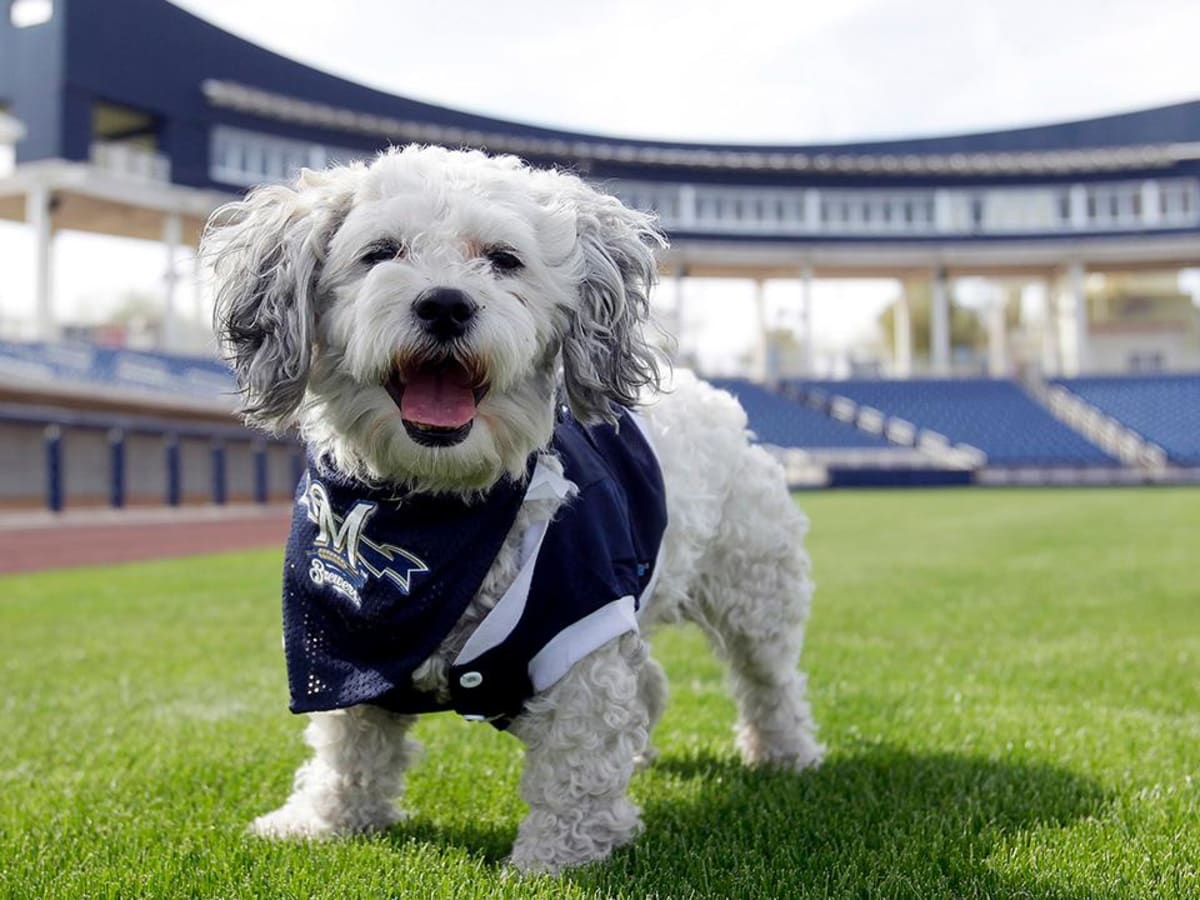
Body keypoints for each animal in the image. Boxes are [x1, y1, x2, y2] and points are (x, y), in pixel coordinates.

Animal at [206, 146, 825, 873]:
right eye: (381, 253)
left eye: (503, 260)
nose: (444, 303)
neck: (440, 508)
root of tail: (715, 398)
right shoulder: (341, 650)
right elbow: (348, 748)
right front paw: (322, 821)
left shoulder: (581, 632)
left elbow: (576, 764)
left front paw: (554, 860)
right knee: (650, 682)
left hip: (754, 592)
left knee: (770, 681)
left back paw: (786, 753)